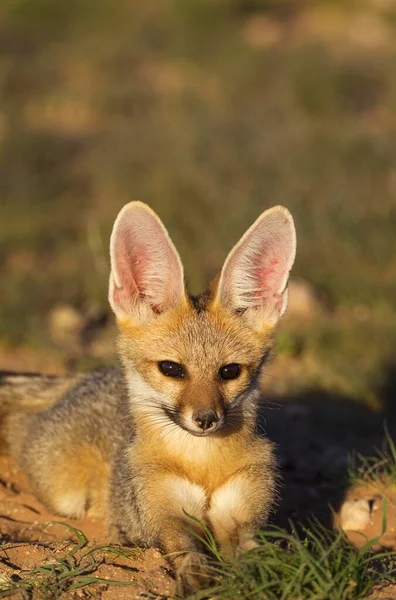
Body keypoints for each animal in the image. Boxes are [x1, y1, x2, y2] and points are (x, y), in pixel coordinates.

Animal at [1, 200, 296, 592]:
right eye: (171, 369)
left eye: (230, 371)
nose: (206, 419)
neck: (202, 464)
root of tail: (89, 376)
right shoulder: (164, 513)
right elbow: (184, 548)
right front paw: (197, 577)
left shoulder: (241, 510)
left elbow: (251, 552)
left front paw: (253, 578)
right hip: (65, 493)